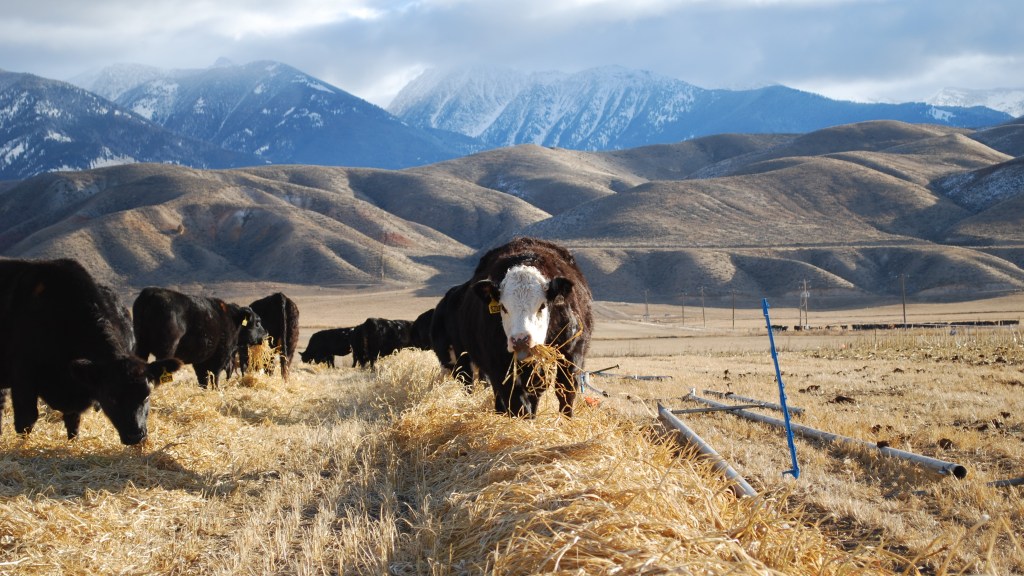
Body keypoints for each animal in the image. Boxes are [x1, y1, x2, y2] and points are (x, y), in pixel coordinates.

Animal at [0, 258, 183, 444]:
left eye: (146, 395)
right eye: (111, 397)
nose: (136, 436)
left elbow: (73, 422)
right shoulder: (23, 379)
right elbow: (26, 420)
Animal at [132, 287, 268, 388]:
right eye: (257, 322)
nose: (265, 334)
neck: (233, 319)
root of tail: (151, 293)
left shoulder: (200, 360)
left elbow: (203, 379)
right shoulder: (220, 356)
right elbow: (214, 376)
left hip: (141, 347)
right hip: (166, 350)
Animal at [444, 237, 593, 417]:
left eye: (542, 305)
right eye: (503, 307)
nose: (520, 339)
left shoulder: (573, 352)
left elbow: (566, 392)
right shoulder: (498, 364)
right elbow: (516, 401)